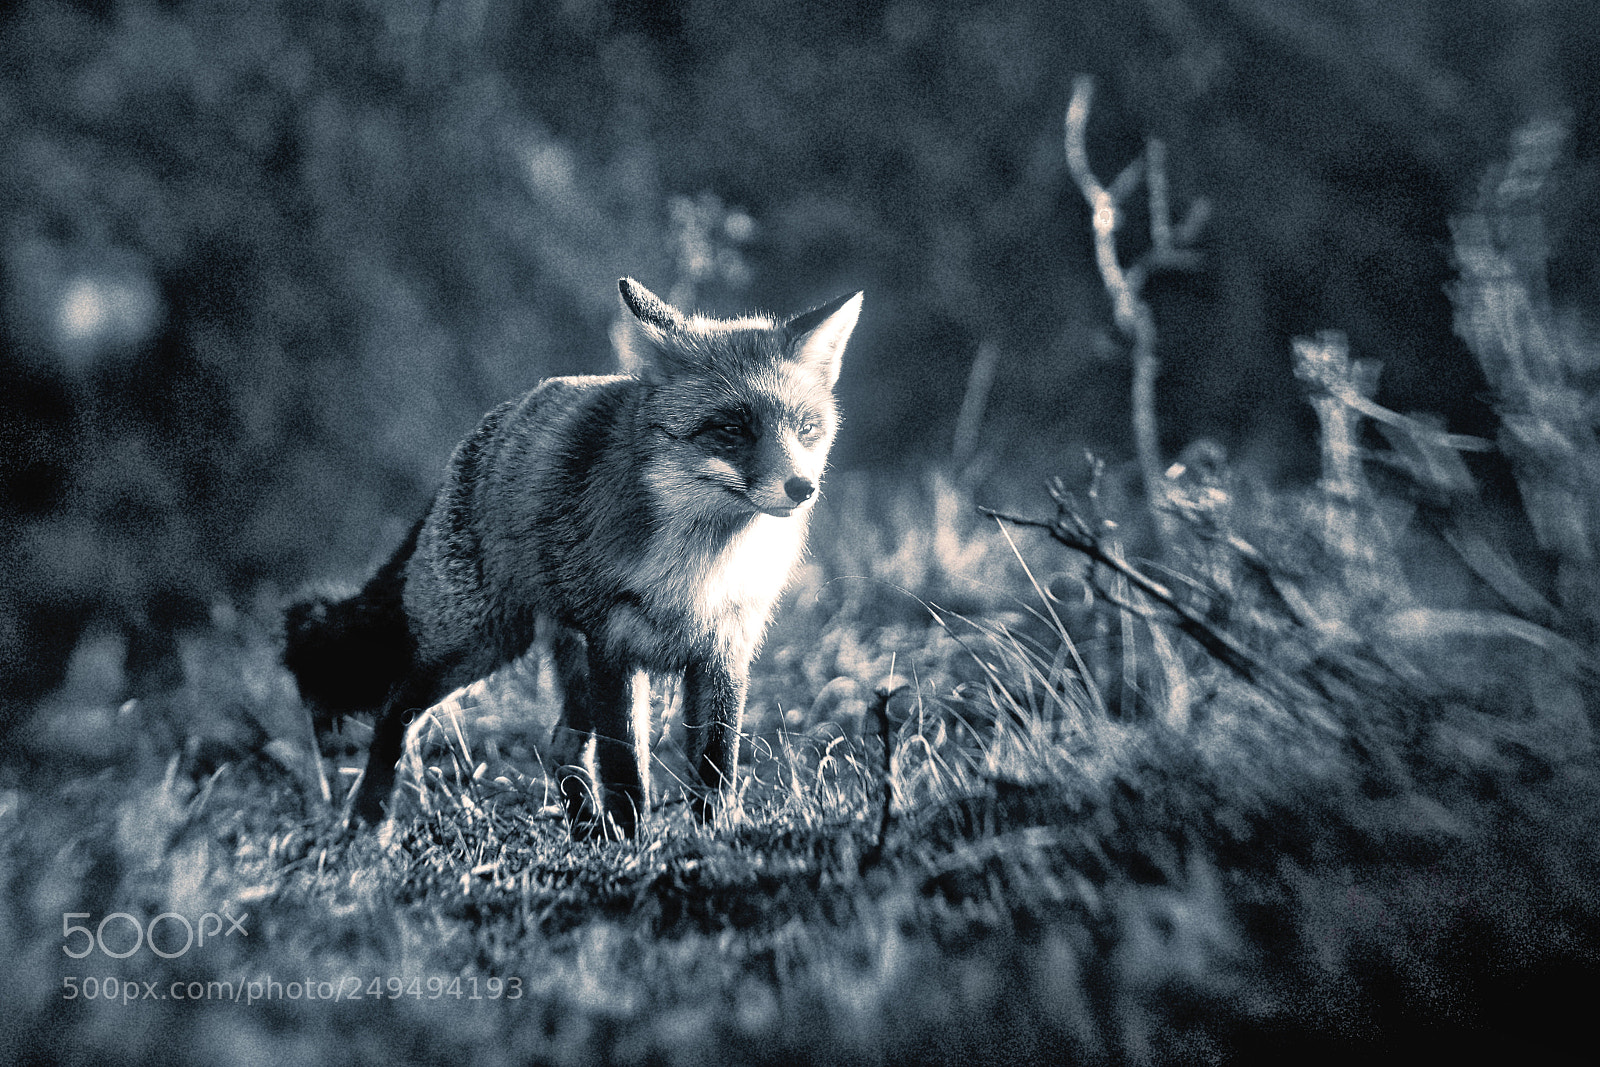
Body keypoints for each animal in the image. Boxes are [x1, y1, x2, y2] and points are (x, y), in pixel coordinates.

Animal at [283, 278, 862, 838]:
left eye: (807, 429)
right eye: (732, 430)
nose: (802, 488)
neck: (699, 571)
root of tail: (488, 430)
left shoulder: (723, 651)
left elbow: (716, 767)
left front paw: (715, 837)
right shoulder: (615, 648)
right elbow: (626, 768)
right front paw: (634, 846)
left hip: (563, 658)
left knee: (561, 742)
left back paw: (586, 832)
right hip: (480, 645)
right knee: (397, 710)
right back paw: (372, 818)